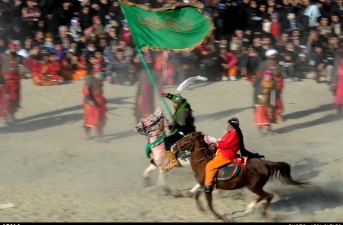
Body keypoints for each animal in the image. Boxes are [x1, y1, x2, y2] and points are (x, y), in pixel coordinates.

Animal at [172, 131, 312, 221]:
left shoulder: (208, 188)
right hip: (255, 187)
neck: (203, 163)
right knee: (265, 197)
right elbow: (196, 196)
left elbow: (210, 205)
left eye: (186, 139)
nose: (174, 146)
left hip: (254, 186)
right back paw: (250, 209)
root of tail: (266, 163)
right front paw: (202, 210)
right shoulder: (205, 186)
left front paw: (221, 217)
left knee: (268, 196)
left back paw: (257, 212)